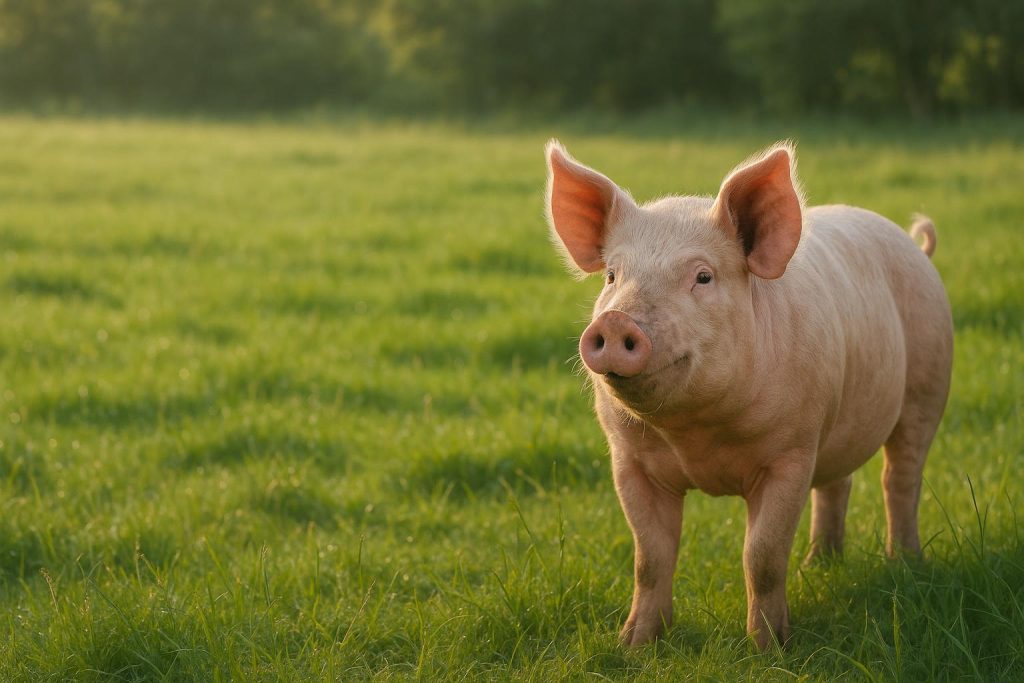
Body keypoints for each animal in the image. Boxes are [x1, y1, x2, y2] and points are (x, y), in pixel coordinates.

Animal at [544, 140, 953, 649]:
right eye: (613, 276)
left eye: (703, 277)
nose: (617, 321)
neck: (698, 437)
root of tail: (916, 248)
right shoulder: (629, 459)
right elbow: (650, 558)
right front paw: (632, 646)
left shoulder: (792, 453)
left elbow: (761, 555)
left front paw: (768, 648)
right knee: (838, 482)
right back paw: (820, 564)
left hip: (928, 384)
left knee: (900, 479)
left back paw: (906, 565)